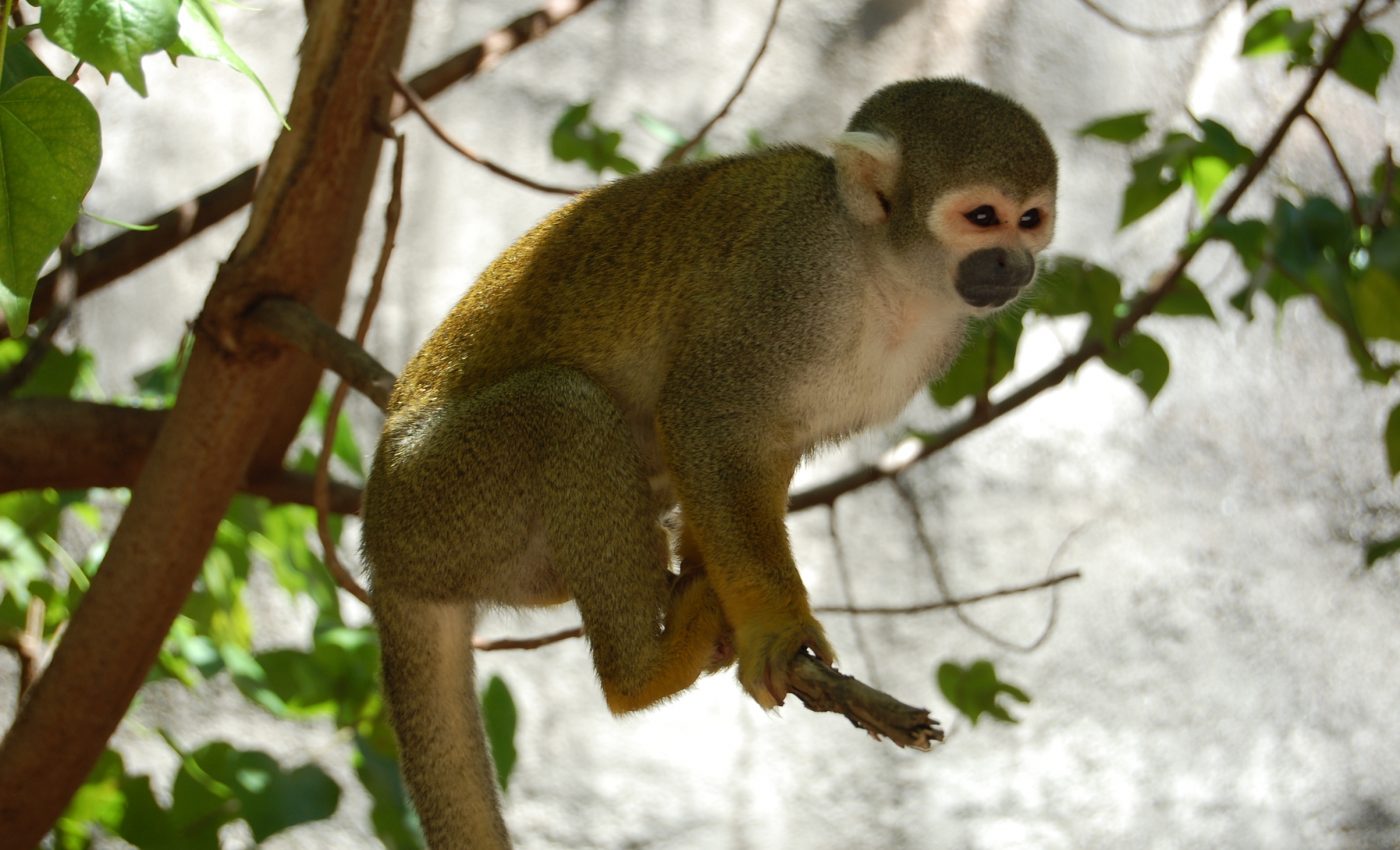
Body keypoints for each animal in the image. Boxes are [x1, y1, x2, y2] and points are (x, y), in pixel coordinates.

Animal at [360, 77, 1057, 849]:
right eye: (983, 217)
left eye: (1030, 219)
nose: (1016, 265)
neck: (886, 275)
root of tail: (380, 554)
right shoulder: (788, 280)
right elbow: (707, 418)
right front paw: (777, 627)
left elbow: (762, 449)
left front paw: (723, 585)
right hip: (437, 502)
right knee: (565, 409)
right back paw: (641, 672)